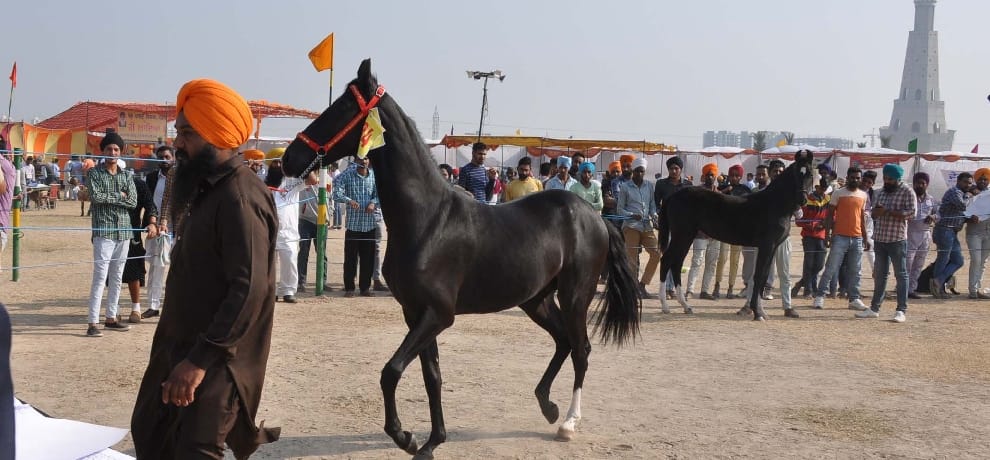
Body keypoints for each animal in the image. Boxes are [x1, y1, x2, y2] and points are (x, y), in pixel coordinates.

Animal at [281, 59, 641, 459]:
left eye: (343, 106)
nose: (288, 158)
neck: (427, 220)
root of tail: (595, 216)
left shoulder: (439, 314)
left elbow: (391, 371)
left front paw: (405, 437)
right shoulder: (416, 313)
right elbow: (431, 377)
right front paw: (431, 442)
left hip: (575, 294)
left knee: (581, 349)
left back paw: (568, 423)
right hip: (536, 299)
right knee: (563, 342)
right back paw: (547, 405)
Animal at [656, 151, 815, 320]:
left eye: (810, 174)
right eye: (796, 174)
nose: (802, 200)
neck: (774, 204)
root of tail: (673, 196)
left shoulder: (772, 248)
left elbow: (763, 276)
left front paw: (761, 311)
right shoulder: (766, 246)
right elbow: (759, 276)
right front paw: (757, 313)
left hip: (686, 237)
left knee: (676, 263)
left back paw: (686, 306)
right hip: (682, 235)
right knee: (667, 261)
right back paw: (665, 306)